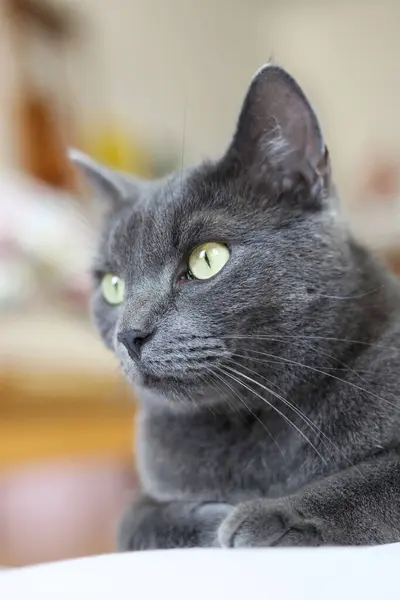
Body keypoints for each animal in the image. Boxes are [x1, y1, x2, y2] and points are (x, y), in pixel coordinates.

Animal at [72, 65, 400, 548]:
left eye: (207, 258)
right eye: (113, 286)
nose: (129, 334)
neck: (248, 421)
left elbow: (376, 478)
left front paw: (278, 515)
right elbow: (129, 519)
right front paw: (208, 519)